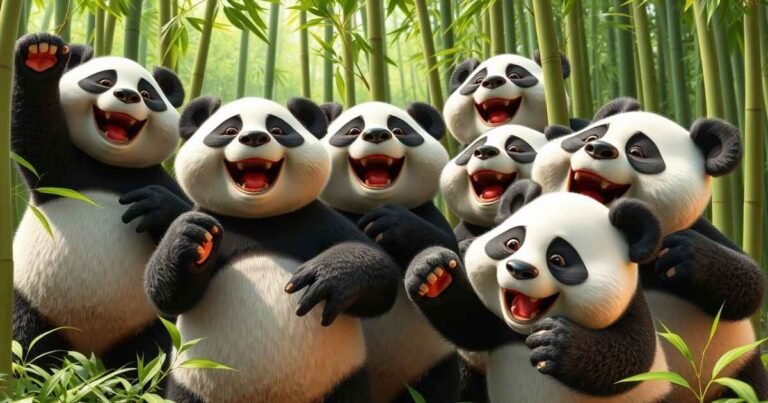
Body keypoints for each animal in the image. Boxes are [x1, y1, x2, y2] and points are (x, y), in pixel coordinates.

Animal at [11, 33, 190, 369]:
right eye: (104, 80)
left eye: (147, 92)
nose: (127, 95)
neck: (112, 166)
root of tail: (88, 354)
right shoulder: (67, 169)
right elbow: (35, 134)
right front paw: (41, 55)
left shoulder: (163, 179)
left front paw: (155, 206)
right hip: (31, 298)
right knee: (26, 340)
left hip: (148, 320)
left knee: (150, 354)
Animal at [146, 96, 401, 402]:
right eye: (230, 130)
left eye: (278, 130)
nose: (255, 138)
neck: (259, 218)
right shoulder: (217, 221)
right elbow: (167, 297)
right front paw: (191, 237)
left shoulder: (315, 219)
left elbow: (381, 276)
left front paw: (328, 275)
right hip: (193, 382)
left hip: (342, 377)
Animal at [318, 101, 460, 402]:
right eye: (353, 130)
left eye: (399, 129)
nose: (376, 135)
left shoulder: (427, 212)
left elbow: (448, 249)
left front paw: (392, 223)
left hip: (429, 362)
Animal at [405, 186, 672, 402]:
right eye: (512, 243)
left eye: (558, 259)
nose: (520, 269)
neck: (523, 332)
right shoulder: (498, 327)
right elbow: (470, 324)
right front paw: (434, 274)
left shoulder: (632, 307)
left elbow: (628, 358)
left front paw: (553, 342)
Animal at [531, 97, 768, 401]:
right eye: (590, 137)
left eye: (638, 152)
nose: (598, 149)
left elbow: (750, 284)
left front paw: (685, 255)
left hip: (736, 370)